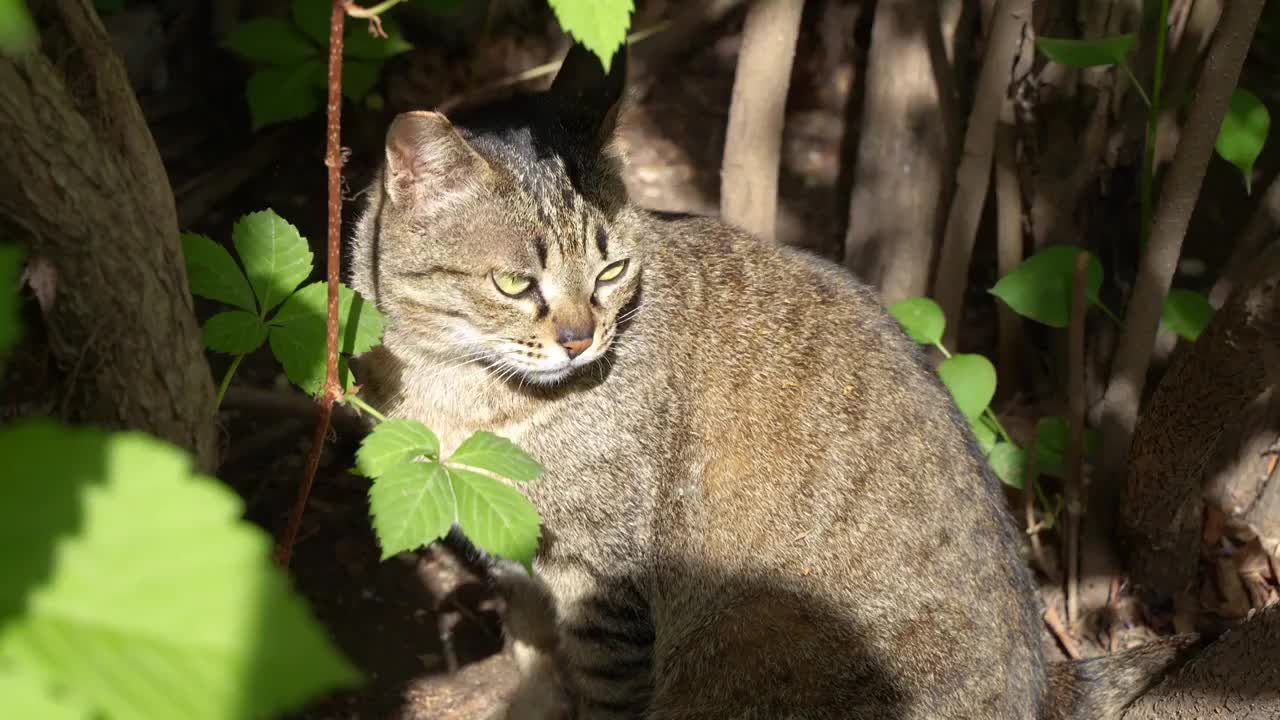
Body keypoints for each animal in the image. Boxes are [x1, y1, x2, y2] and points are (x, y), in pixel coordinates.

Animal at [348, 43, 1187, 717]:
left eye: (611, 272)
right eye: (516, 284)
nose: (580, 339)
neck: (457, 391)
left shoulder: (601, 582)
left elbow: (600, 691)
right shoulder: (516, 564)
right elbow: (532, 660)